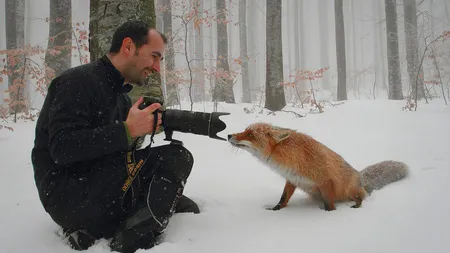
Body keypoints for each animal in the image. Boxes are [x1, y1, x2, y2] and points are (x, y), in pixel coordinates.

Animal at [229, 122, 408, 211]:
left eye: (250, 134)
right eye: (245, 130)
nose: (229, 135)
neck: (292, 157)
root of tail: (361, 177)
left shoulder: (326, 181)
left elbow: (329, 204)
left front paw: (328, 215)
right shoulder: (292, 179)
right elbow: (283, 198)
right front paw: (275, 210)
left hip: (350, 190)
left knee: (361, 197)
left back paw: (357, 205)